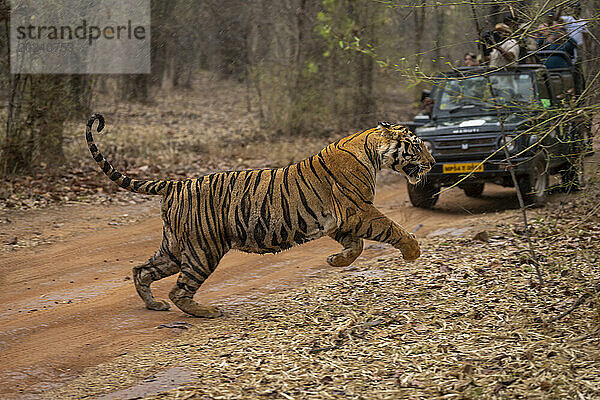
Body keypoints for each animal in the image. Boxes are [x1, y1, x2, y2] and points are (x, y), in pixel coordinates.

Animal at [85, 114, 436, 318]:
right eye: (417, 147)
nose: (433, 163)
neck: (372, 152)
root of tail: (178, 182)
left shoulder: (339, 220)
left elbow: (356, 246)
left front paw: (336, 261)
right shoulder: (358, 210)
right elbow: (390, 227)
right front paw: (413, 251)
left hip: (174, 247)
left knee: (141, 270)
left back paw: (153, 304)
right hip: (203, 249)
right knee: (179, 289)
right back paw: (206, 311)